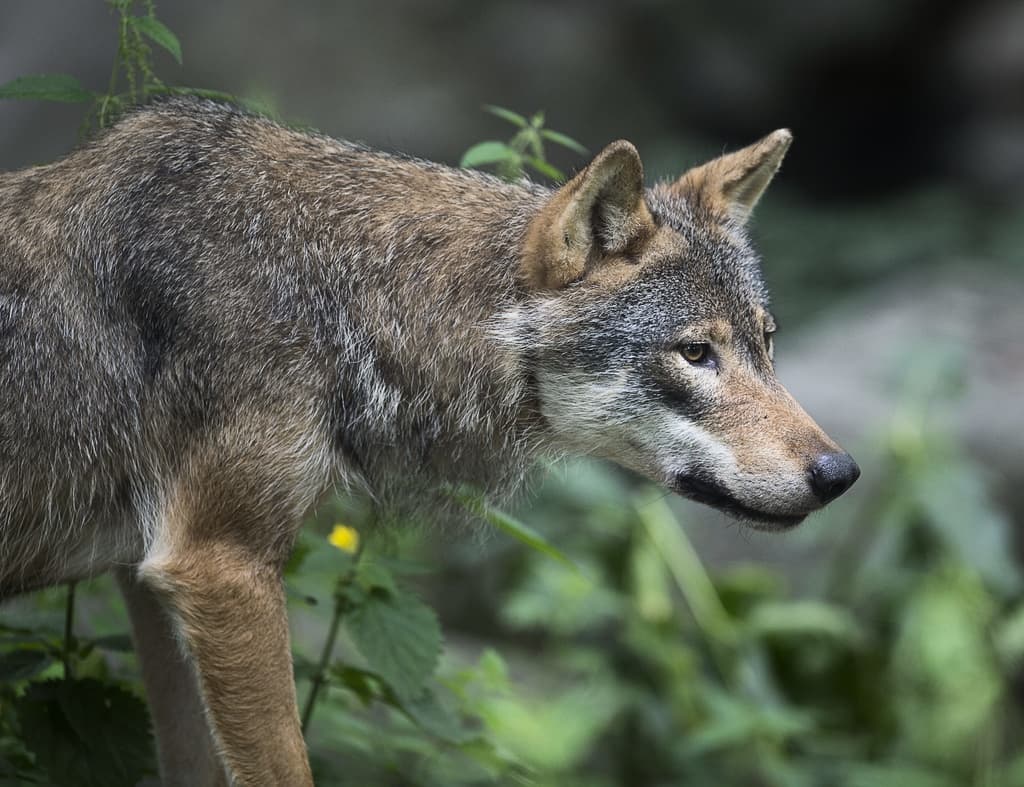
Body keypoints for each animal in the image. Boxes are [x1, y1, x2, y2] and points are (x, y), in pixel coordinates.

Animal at [0, 98, 858, 785]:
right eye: (695, 353)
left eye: (766, 343)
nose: (841, 472)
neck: (340, 292)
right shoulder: (218, 564)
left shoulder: (151, 578)